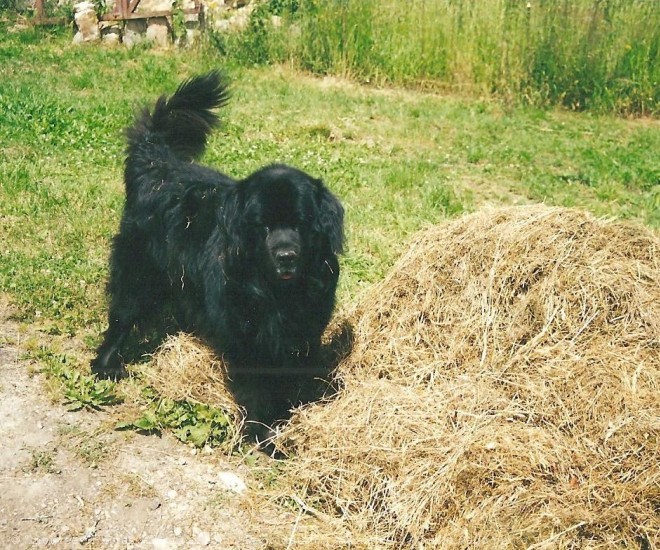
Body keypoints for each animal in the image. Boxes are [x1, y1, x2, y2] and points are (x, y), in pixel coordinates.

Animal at [93, 71, 346, 438]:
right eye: (263, 226)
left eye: (300, 224)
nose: (286, 255)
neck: (277, 294)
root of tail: (158, 165)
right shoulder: (247, 338)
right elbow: (257, 391)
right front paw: (262, 435)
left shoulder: (302, 332)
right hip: (140, 273)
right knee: (122, 314)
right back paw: (105, 365)